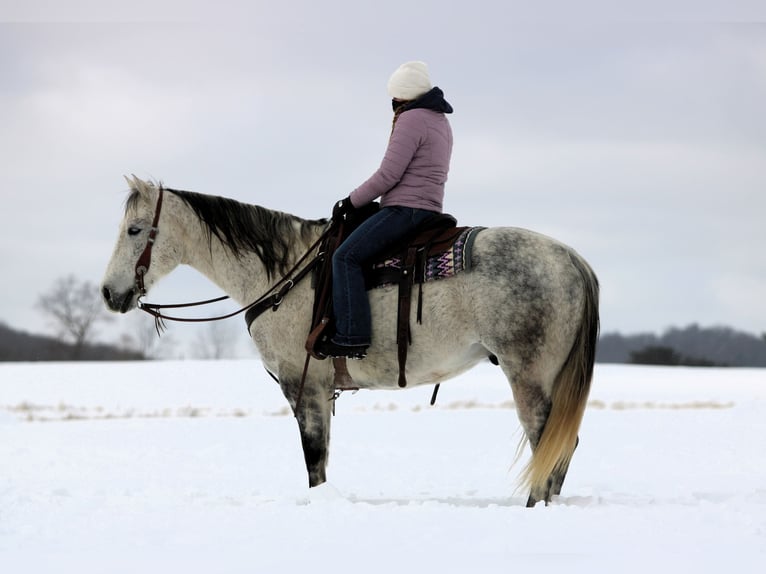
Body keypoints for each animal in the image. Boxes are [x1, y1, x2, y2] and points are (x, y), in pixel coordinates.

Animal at [101, 176, 599, 506]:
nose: (108, 293)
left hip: (529, 375)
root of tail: (571, 258)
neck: (284, 273)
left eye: (134, 229)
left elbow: (314, 458)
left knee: (547, 444)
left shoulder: (305, 385)